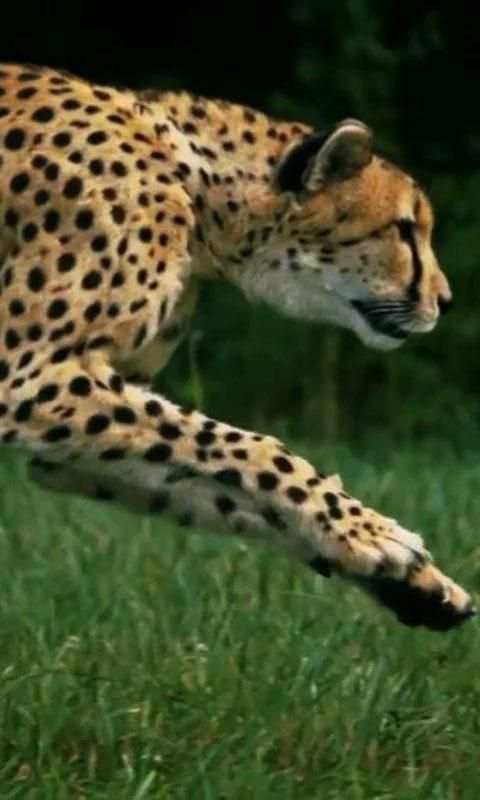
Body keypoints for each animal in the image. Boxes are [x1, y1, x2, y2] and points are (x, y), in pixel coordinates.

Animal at [0, 63, 474, 631]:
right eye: (403, 229)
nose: (445, 300)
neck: (197, 183)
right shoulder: (31, 380)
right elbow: (259, 451)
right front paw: (375, 537)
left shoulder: (74, 432)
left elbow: (228, 486)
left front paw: (410, 579)